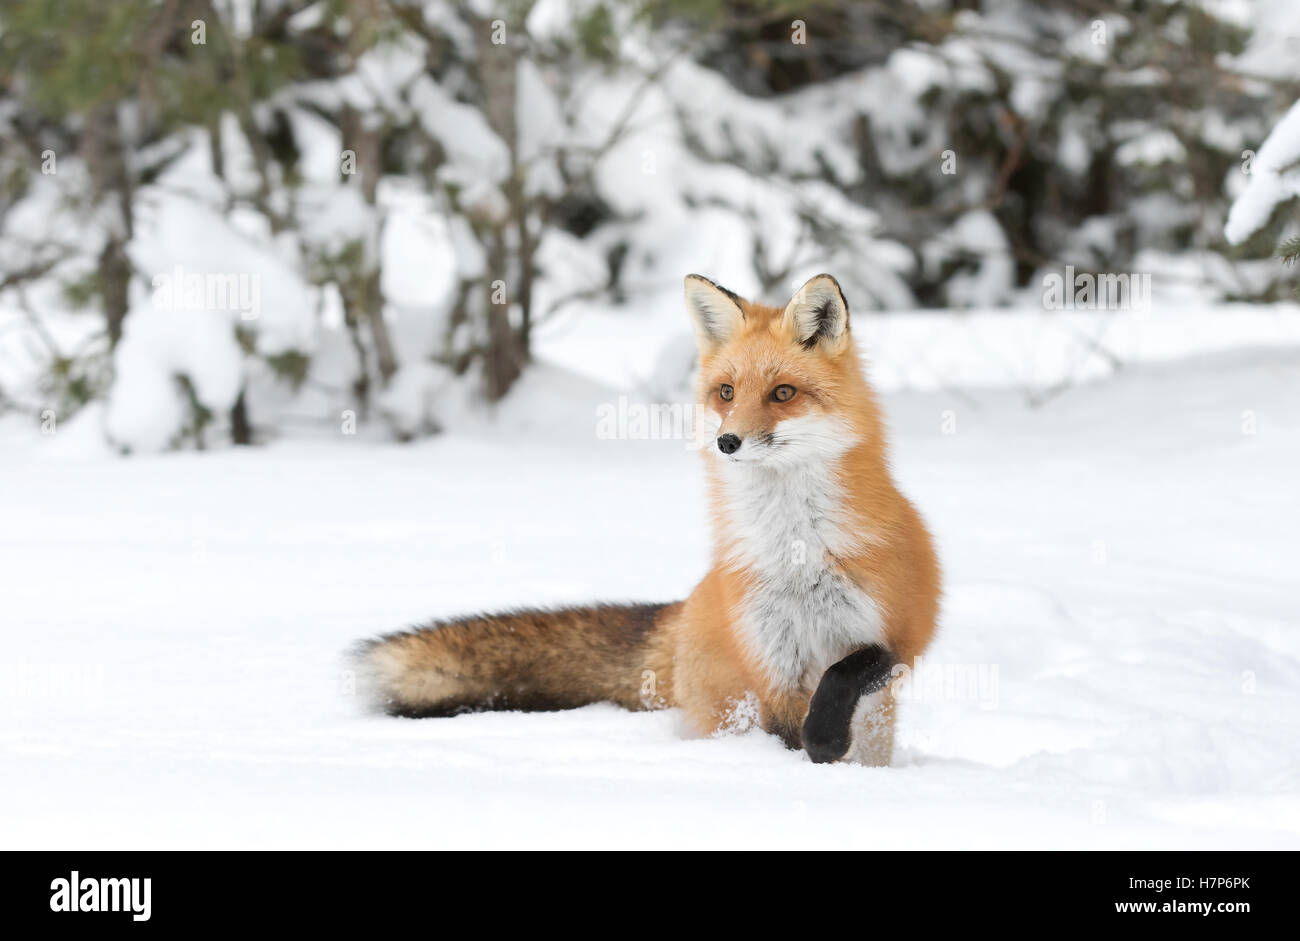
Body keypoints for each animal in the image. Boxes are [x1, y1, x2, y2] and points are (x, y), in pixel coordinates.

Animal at [353, 273, 941, 765]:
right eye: (726, 392)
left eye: (783, 393)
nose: (728, 442)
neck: (794, 553)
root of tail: (685, 611)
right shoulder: (770, 657)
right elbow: (783, 729)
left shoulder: (900, 630)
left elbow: (849, 670)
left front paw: (825, 741)